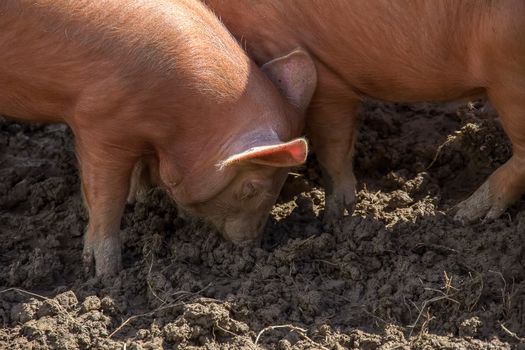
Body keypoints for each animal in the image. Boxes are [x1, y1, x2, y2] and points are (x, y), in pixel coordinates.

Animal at [0, 0, 316, 276]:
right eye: (251, 188)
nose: (252, 246)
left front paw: (139, 197)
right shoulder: (101, 124)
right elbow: (105, 196)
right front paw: (106, 273)